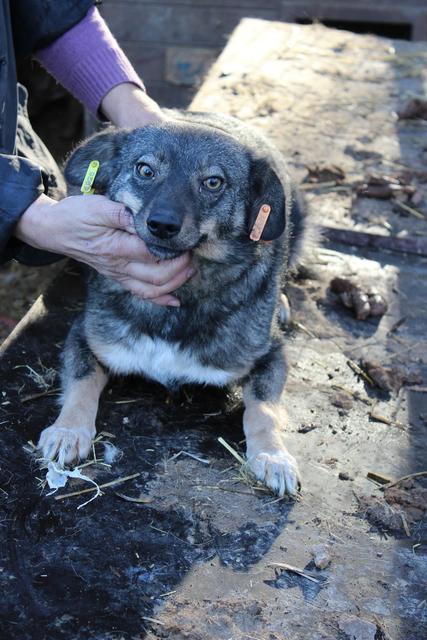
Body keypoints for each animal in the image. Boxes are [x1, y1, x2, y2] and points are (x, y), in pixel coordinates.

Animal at [37, 112, 308, 498]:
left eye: (213, 182)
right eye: (145, 170)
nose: (162, 224)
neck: (179, 300)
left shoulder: (271, 355)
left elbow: (263, 410)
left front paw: (273, 456)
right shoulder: (85, 337)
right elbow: (82, 382)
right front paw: (68, 430)